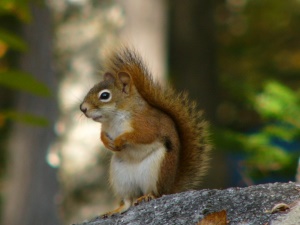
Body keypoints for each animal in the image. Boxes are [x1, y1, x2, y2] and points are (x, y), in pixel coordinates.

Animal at [80, 46, 211, 217]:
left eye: (105, 95)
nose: (82, 108)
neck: (114, 119)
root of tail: (169, 189)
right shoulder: (105, 128)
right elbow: (102, 135)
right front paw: (107, 142)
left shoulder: (147, 123)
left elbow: (142, 135)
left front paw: (120, 140)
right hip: (120, 176)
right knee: (127, 201)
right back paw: (116, 210)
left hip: (156, 169)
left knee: (154, 193)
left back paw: (147, 196)